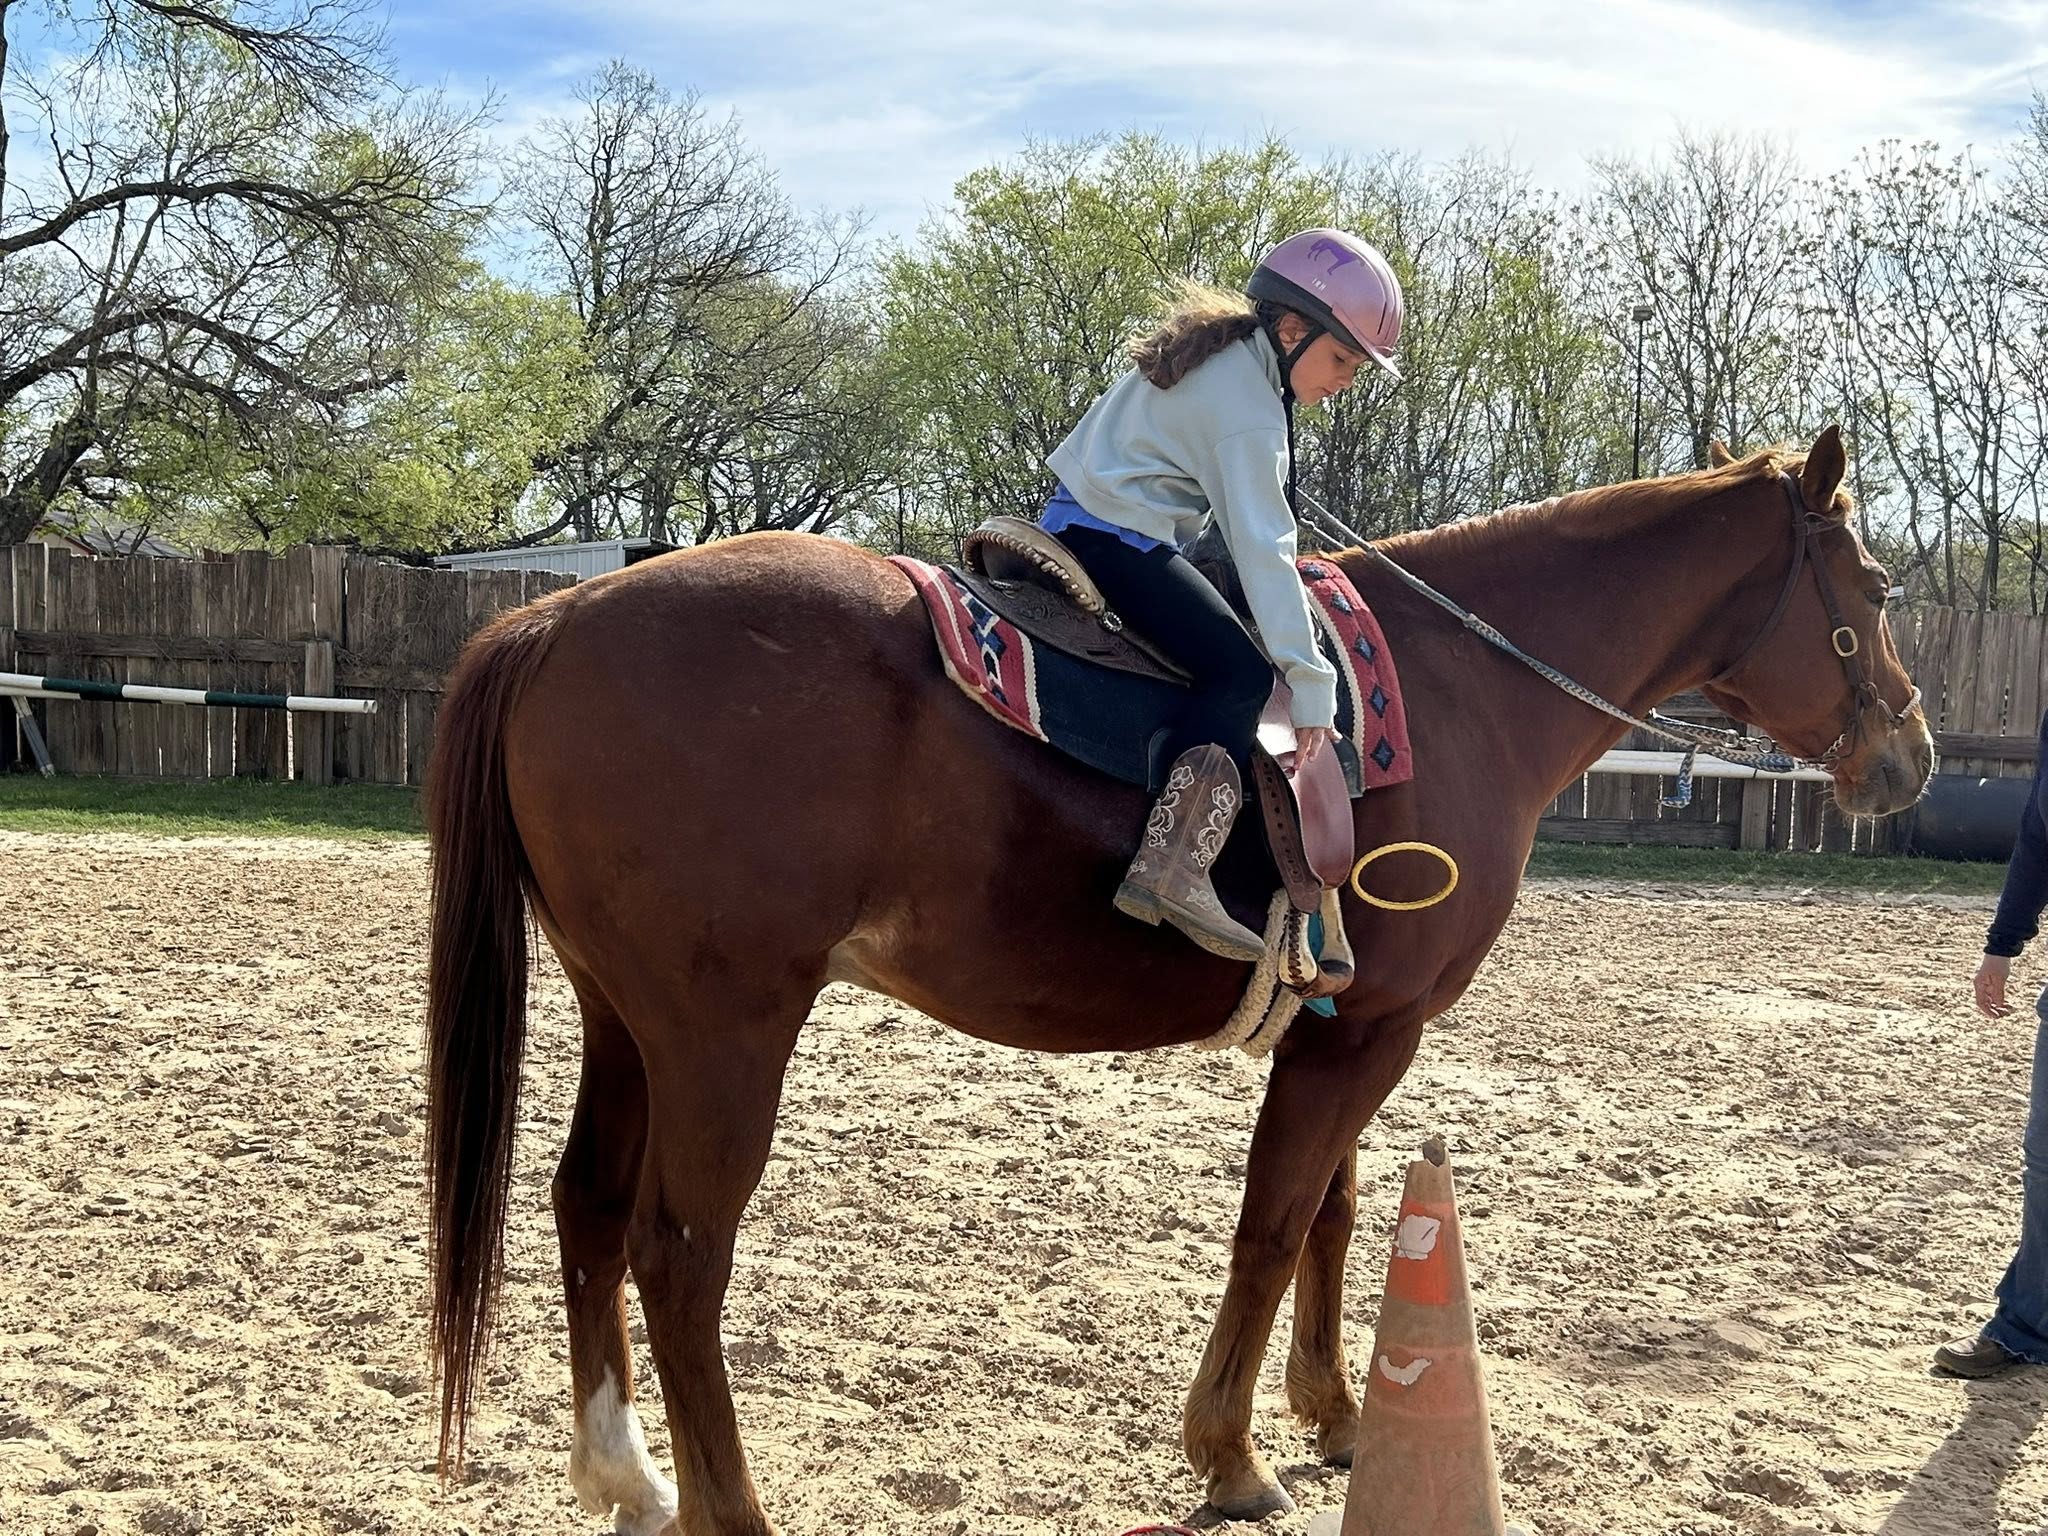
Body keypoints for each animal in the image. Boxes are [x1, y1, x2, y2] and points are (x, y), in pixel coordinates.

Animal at [421, 426, 1932, 1535]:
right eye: (1867, 592)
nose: (1906, 761)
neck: (1461, 687)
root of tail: (558, 620)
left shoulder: (1345, 1023)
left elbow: (1335, 1217)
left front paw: (1336, 1413)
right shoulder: (1369, 1035)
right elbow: (1272, 1227)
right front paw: (1231, 1453)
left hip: (625, 1017)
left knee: (586, 1207)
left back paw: (624, 1474)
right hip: (724, 1027)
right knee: (681, 1254)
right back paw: (727, 1509)